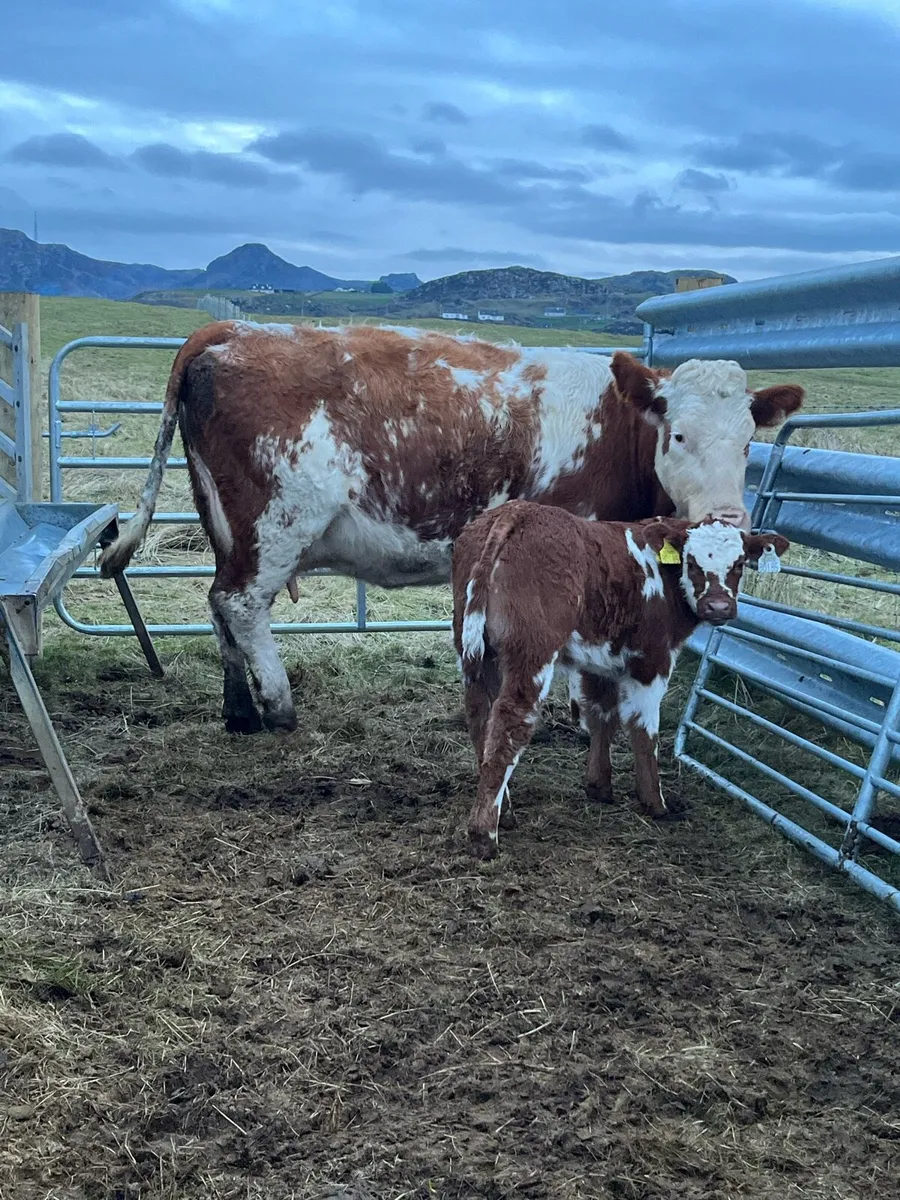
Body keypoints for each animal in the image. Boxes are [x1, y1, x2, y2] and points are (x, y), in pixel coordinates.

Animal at [97, 321, 803, 736]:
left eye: (749, 441)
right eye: (678, 434)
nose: (726, 518)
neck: (615, 431)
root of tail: (231, 329)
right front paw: (576, 712)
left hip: (228, 528)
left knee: (218, 606)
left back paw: (239, 710)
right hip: (275, 524)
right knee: (240, 604)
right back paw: (276, 705)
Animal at [452, 500, 789, 859]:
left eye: (739, 563)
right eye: (692, 563)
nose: (719, 607)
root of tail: (517, 511)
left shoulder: (598, 659)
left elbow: (601, 715)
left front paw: (599, 785)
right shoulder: (651, 660)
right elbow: (644, 730)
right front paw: (655, 802)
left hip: (476, 649)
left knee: (481, 717)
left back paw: (505, 812)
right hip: (532, 651)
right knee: (510, 722)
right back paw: (484, 834)